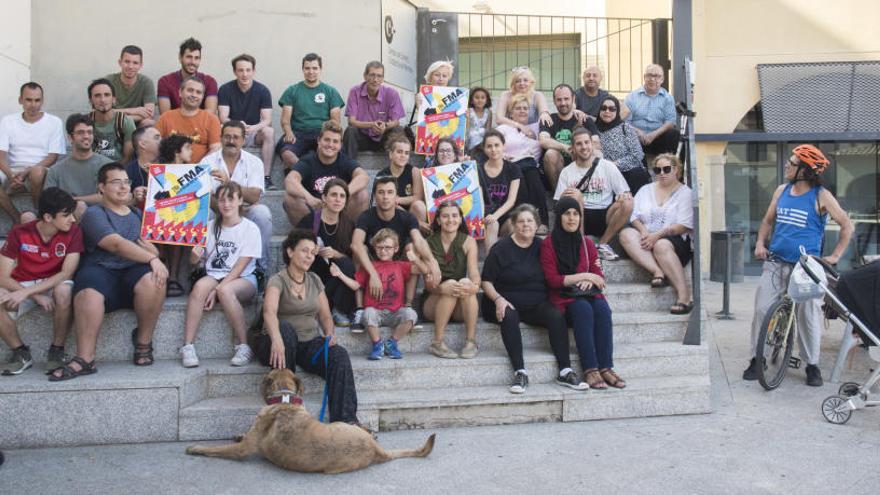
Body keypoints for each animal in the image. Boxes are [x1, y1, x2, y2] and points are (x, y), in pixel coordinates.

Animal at [187, 370, 434, 474]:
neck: (285, 398)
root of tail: (376, 450)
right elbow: (243, 436)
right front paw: (239, 433)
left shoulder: (243, 449)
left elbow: (219, 448)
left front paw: (196, 448)